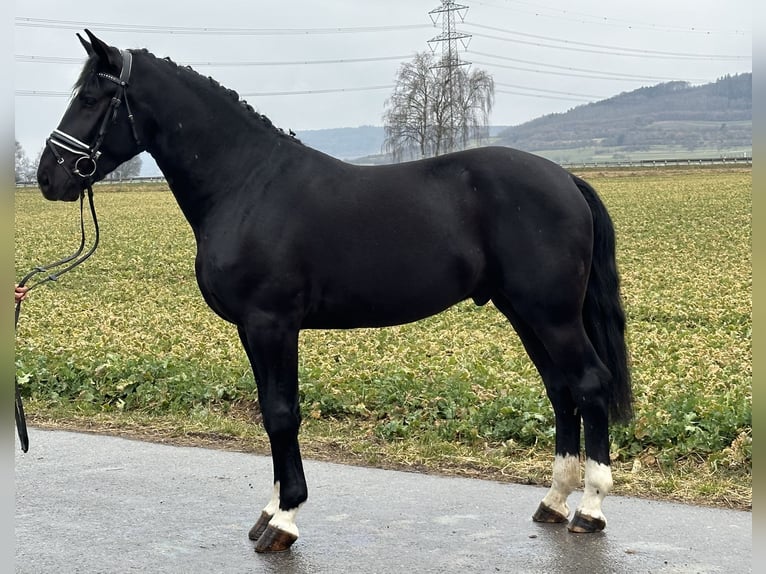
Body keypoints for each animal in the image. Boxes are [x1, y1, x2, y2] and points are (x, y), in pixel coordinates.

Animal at [36, 30, 632, 552]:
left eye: (91, 98)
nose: (48, 177)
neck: (247, 185)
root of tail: (566, 179)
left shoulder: (272, 323)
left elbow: (281, 412)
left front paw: (285, 520)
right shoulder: (253, 330)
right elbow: (269, 410)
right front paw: (271, 511)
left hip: (552, 315)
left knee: (590, 385)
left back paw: (590, 508)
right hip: (525, 313)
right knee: (561, 390)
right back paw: (554, 500)